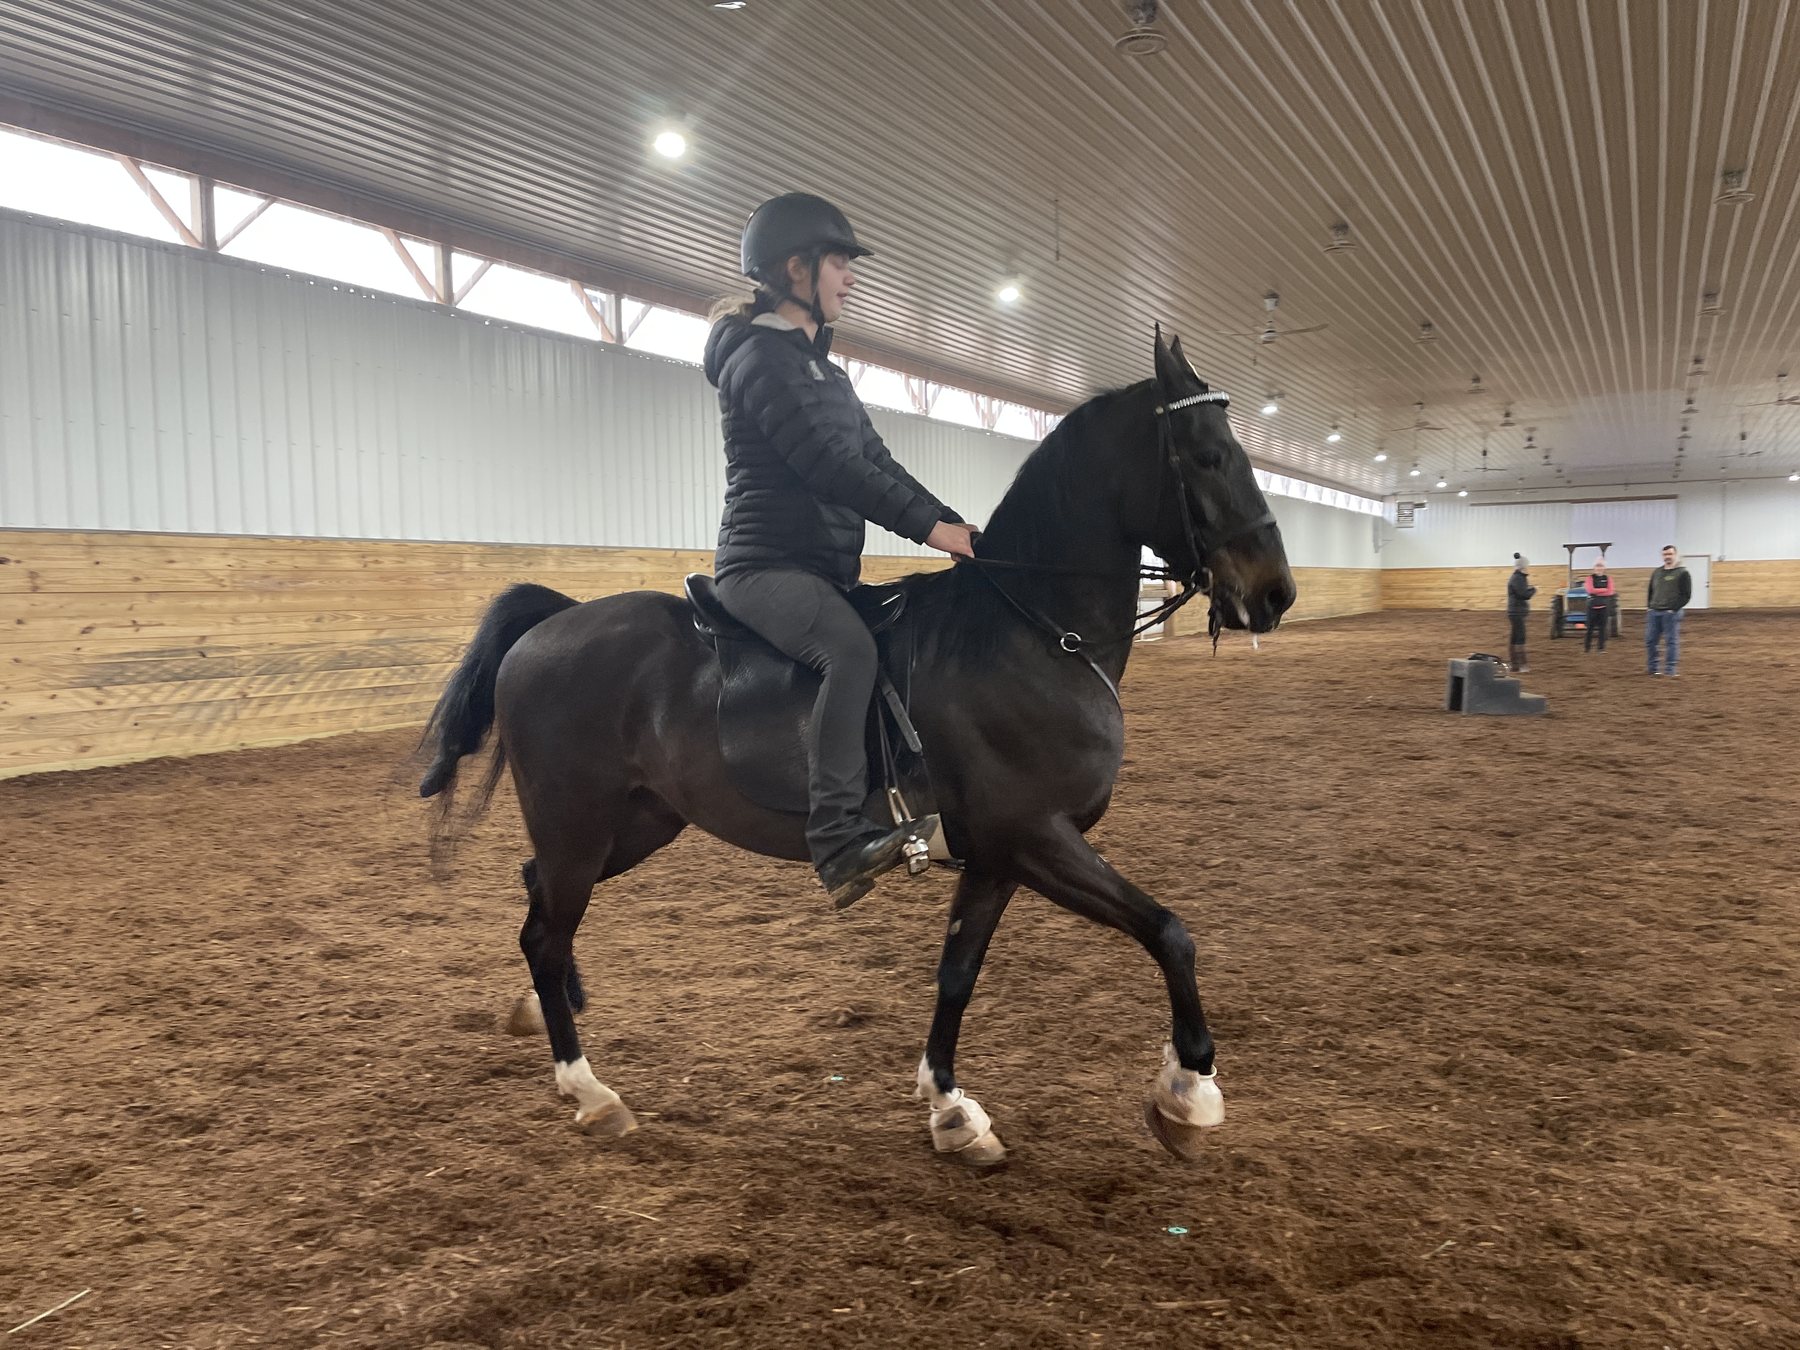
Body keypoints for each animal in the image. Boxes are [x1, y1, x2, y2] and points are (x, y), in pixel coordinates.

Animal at [419, 330, 1296, 1165]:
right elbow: (1168, 931)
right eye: (1210, 455)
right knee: (545, 930)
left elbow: (957, 973)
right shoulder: (1037, 837)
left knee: (538, 899)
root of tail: (552, 622)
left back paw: (546, 1012)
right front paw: (1190, 1090)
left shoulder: (998, 858)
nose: (1274, 594)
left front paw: (951, 1109)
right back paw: (590, 1091)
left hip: (634, 823)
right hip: (579, 823)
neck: (1031, 631)